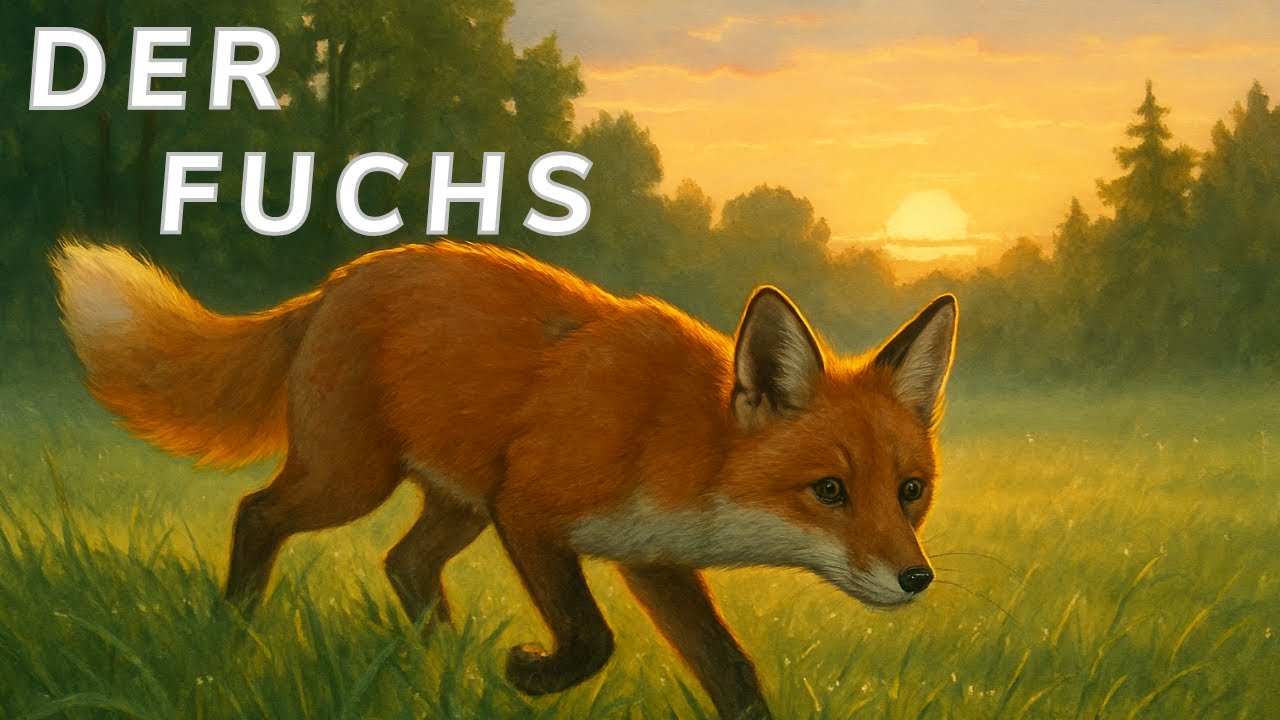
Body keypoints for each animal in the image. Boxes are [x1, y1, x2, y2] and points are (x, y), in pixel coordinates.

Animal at [52, 239, 957, 720]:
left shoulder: (653, 559)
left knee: (402, 562)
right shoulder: (533, 512)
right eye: (829, 491)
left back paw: (437, 669)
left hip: (459, 502)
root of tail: (341, 278)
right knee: (256, 514)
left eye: (910, 491)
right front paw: (530, 674)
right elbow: (592, 639)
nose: (918, 579)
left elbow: (731, 672)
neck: (675, 435)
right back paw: (234, 632)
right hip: (356, 480)